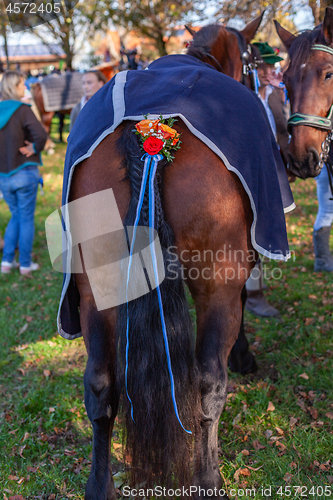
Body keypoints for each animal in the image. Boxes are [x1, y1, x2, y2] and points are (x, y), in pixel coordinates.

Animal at [63, 15, 286, 500]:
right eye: (254, 61)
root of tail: (150, 133)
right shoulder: (230, 276)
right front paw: (243, 357)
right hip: (216, 282)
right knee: (207, 384)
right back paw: (209, 479)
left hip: (96, 290)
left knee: (100, 385)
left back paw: (99, 485)